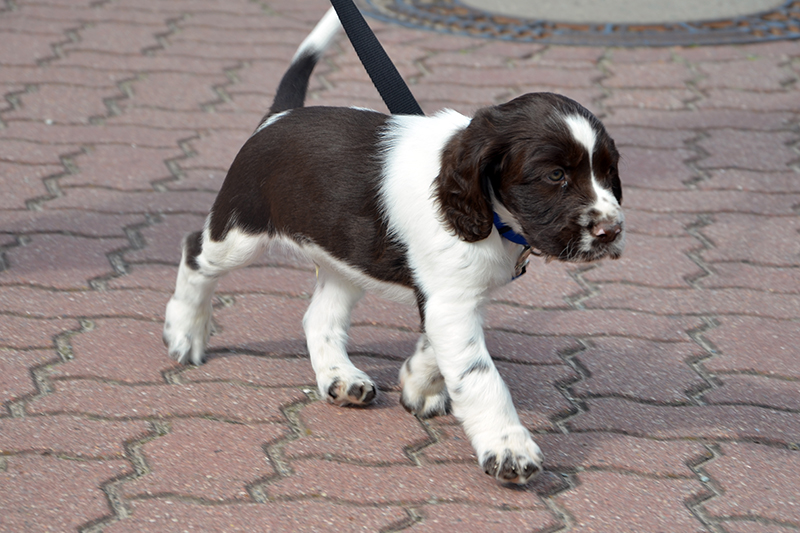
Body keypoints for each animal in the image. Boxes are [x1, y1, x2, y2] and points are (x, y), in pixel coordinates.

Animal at [162, 8, 624, 484]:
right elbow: (481, 377)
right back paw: (185, 331)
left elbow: (440, 350)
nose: (611, 232)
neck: (490, 216)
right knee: (195, 253)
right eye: (555, 176)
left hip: (345, 255)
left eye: (609, 172)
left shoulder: (453, 298)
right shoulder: (451, 302)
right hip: (241, 230)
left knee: (318, 316)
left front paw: (419, 384)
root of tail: (281, 114)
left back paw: (340, 377)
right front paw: (508, 448)